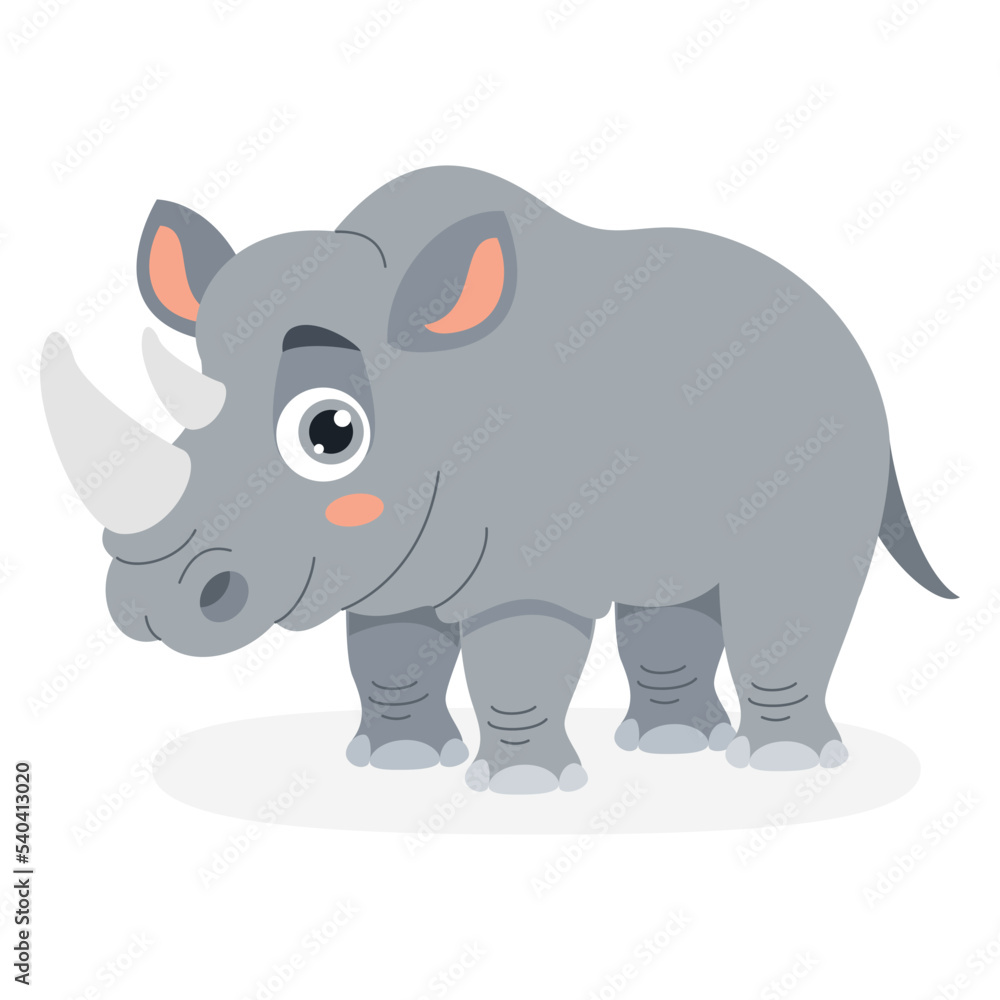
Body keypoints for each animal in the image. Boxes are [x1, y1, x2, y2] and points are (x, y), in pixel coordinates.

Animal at [42, 165, 955, 793]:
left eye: (331, 433)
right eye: (184, 423)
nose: (148, 605)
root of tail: (841, 327)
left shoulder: (530, 570)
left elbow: (518, 657)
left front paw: (523, 787)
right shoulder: (388, 566)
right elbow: (390, 655)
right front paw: (398, 764)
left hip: (835, 427)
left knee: (789, 579)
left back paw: (783, 766)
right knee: (670, 582)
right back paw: (669, 748)